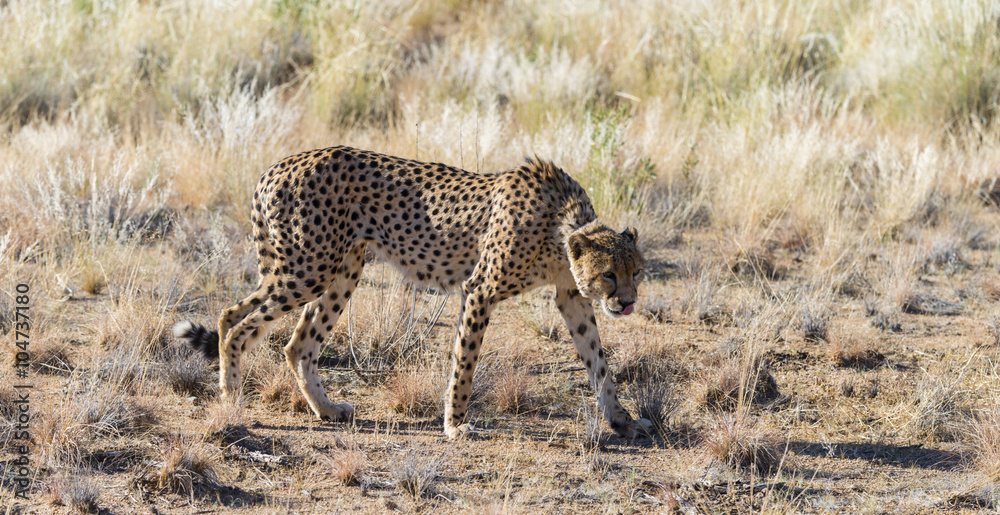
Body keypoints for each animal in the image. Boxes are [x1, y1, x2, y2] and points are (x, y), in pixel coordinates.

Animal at [173, 145, 653, 439]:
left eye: (637, 272)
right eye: (608, 275)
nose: (627, 303)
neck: (560, 228)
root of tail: (279, 164)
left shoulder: (571, 296)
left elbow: (598, 361)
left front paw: (620, 419)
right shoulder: (479, 289)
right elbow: (464, 362)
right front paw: (455, 425)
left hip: (340, 270)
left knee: (290, 340)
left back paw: (326, 410)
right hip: (307, 269)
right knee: (237, 324)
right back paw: (232, 402)